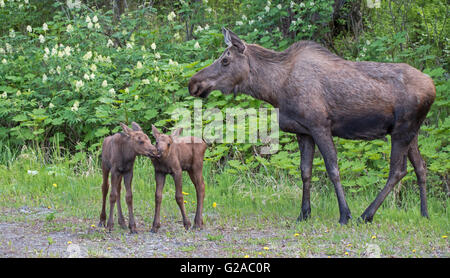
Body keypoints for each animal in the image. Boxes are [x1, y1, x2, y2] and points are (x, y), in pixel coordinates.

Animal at [187, 28, 436, 224]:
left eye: (225, 60)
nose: (193, 83)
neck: (274, 90)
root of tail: (432, 86)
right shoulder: (303, 132)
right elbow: (305, 172)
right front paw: (304, 213)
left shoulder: (320, 126)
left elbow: (333, 169)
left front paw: (344, 214)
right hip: (411, 131)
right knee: (420, 167)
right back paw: (424, 213)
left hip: (402, 129)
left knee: (397, 170)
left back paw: (366, 214)